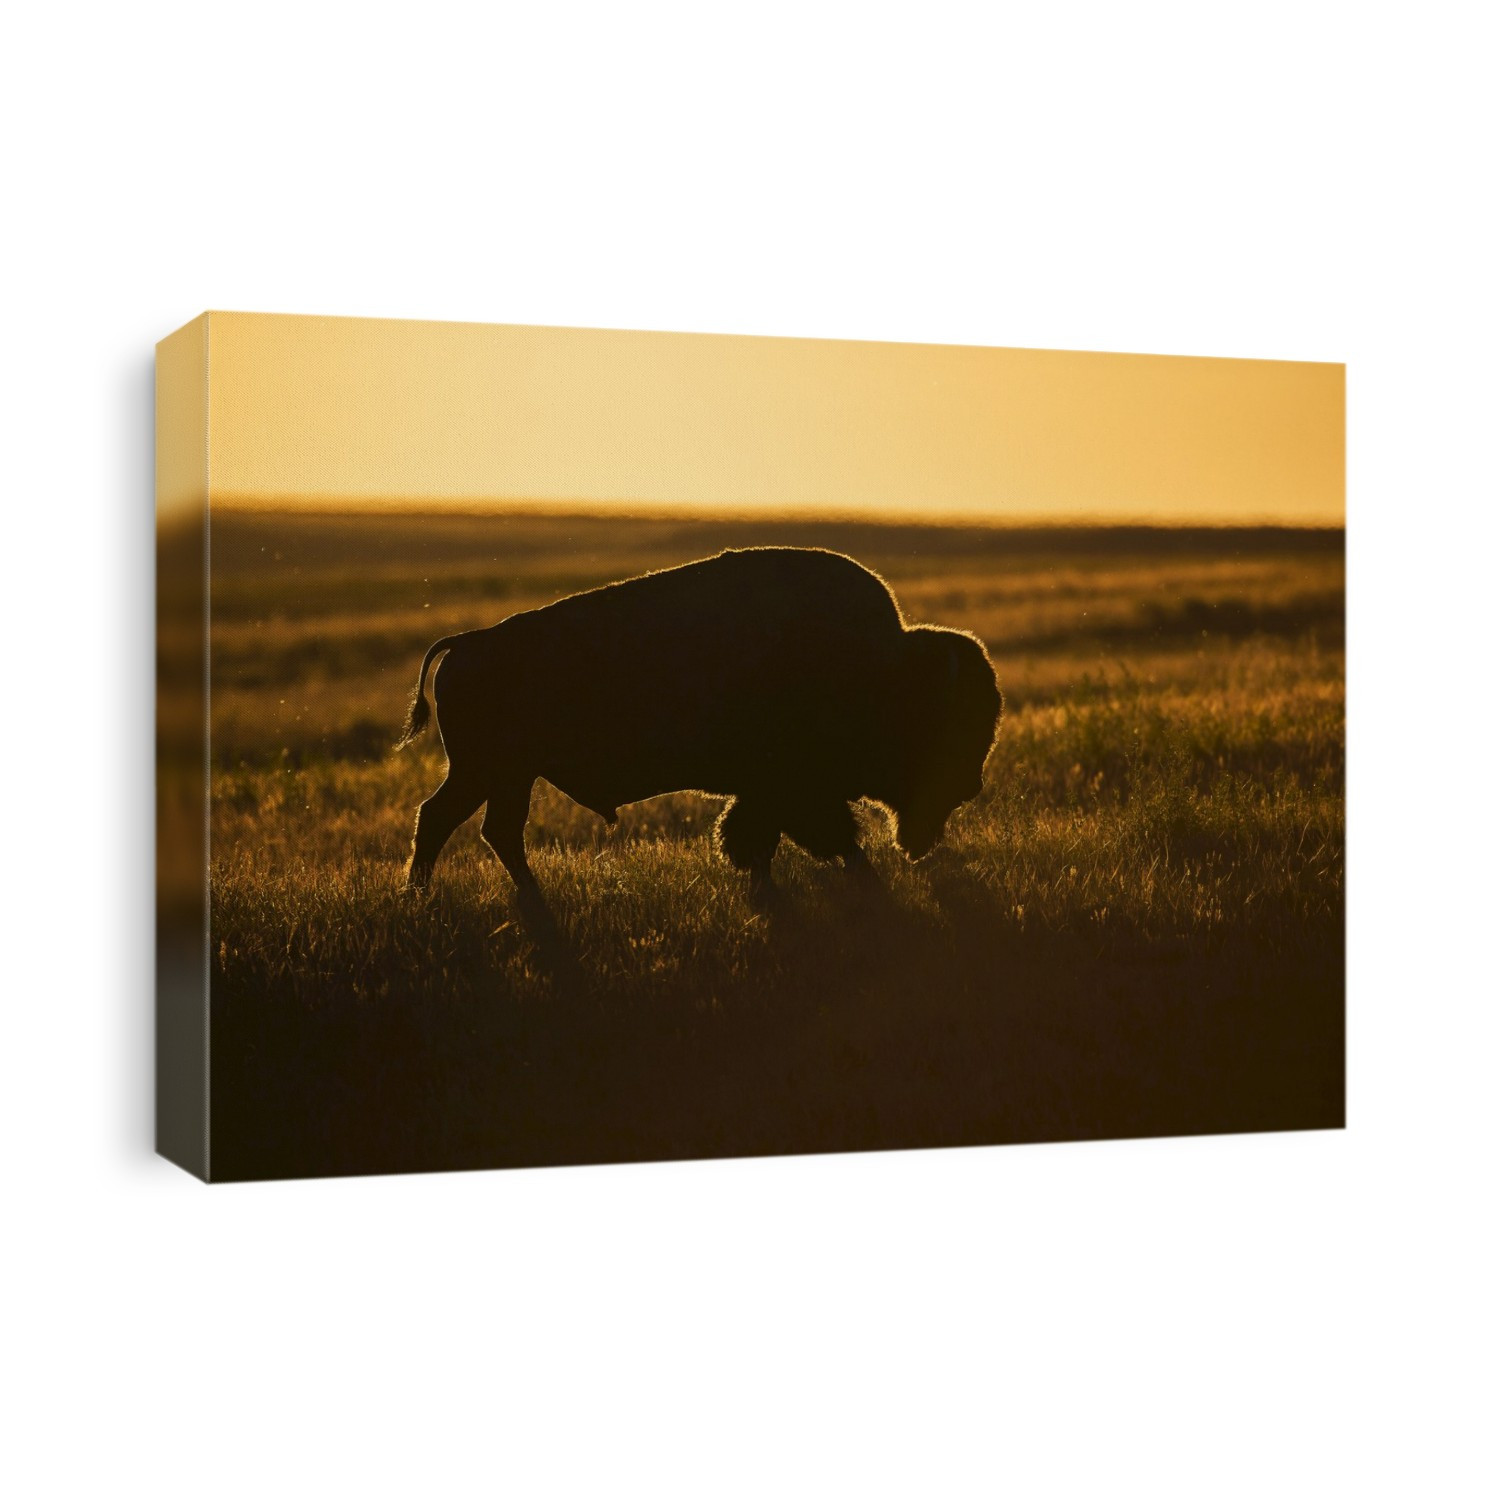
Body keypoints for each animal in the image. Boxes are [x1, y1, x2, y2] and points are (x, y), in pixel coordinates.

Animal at [396, 547, 1001, 918]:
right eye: (949, 724)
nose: (970, 785)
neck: (881, 669)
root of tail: (469, 643)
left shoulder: (768, 792)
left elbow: (757, 839)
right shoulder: (791, 789)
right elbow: (821, 838)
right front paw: (867, 887)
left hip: (500, 776)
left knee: (473, 825)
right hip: (492, 772)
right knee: (460, 822)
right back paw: (435, 897)